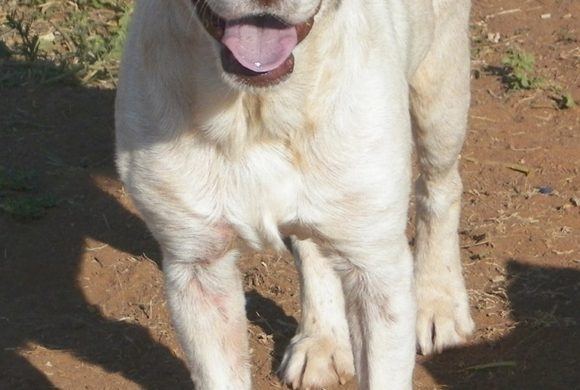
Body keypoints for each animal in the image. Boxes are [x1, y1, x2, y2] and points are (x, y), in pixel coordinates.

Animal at [114, 1, 476, 388]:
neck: (257, 108)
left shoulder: (377, 266)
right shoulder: (197, 265)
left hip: (441, 89)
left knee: (440, 189)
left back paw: (440, 304)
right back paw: (322, 340)